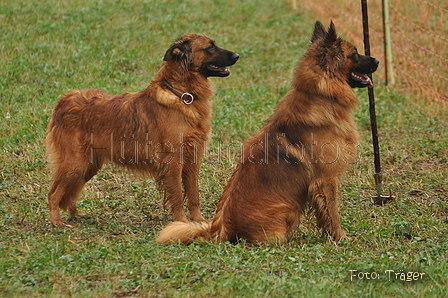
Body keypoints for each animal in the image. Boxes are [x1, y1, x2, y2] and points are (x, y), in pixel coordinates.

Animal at [47, 33, 240, 225]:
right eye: (211, 47)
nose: (238, 56)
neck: (182, 94)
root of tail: (65, 99)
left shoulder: (192, 159)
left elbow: (193, 194)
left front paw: (198, 221)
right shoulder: (173, 162)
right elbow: (178, 195)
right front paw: (181, 223)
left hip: (88, 166)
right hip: (76, 164)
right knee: (53, 193)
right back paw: (58, 222)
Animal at [158, 21, 378, 244]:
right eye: (355, 54)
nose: (377, 60)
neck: (320, 96)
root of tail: (219, 229)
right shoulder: (326, 180)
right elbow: (332, 214)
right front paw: (341, 238)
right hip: (288, 209)